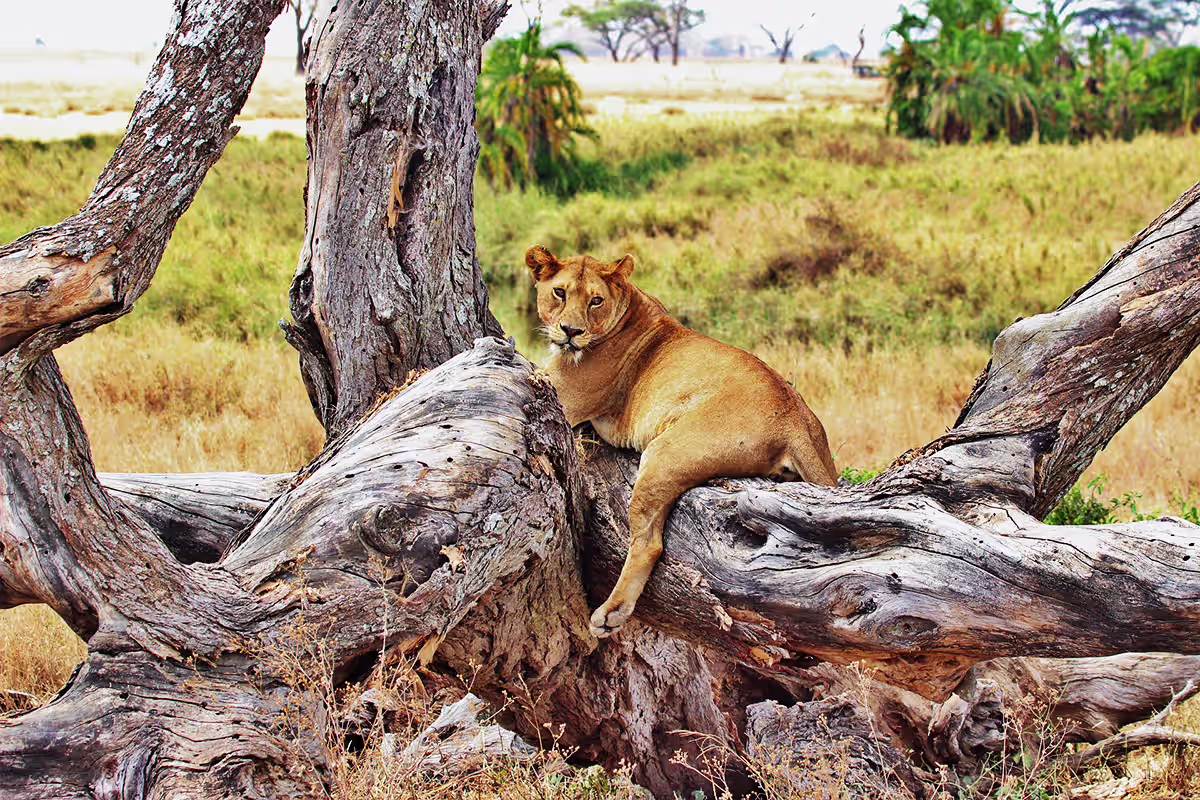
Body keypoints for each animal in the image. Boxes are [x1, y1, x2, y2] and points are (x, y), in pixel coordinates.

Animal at [525, 244, 838, 638]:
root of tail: (794, 416)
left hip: (664, 453)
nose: (570, 331)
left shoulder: (562, 395)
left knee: (649, 544)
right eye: (560, 292)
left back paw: (611, 613)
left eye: (596, 300)